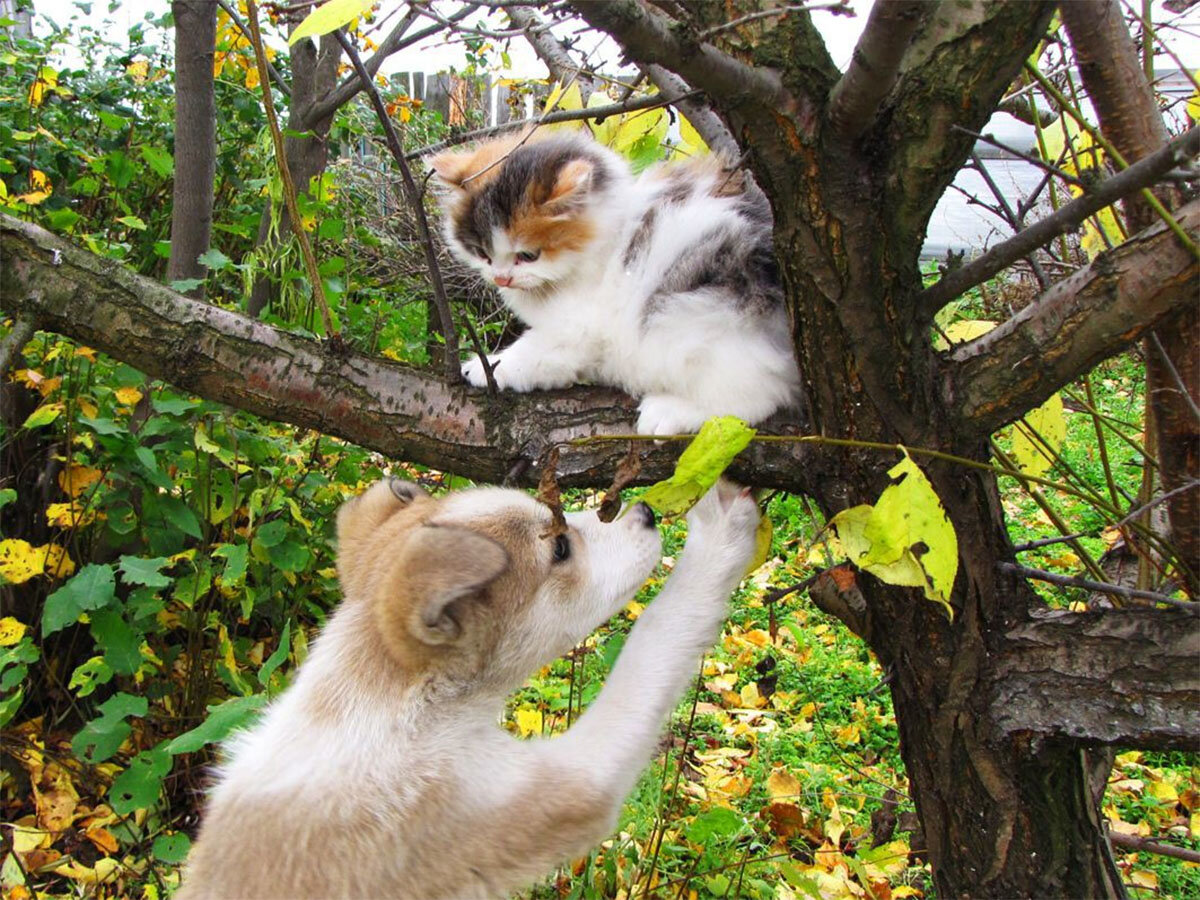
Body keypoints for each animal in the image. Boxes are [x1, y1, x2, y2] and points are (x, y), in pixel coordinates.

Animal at [177, 475, 758, 897]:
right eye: (561, 549)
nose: (646, 512)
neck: (387, 707)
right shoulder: (567, 784)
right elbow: (657, 636)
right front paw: (721, 529)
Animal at [427, 130, 801, 436]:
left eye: (528, 255)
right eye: (482, 253)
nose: (502, 277)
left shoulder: (578, 329)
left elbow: (531, 352)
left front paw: (485, 367)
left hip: (699, 326)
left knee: (755, 398)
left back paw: (671, 411)